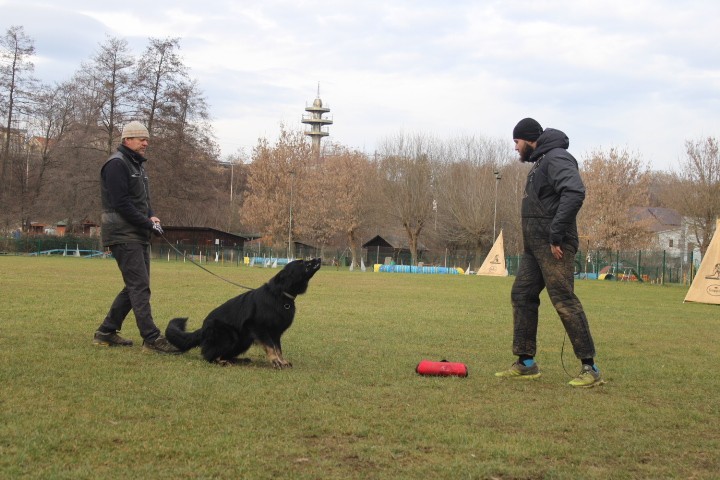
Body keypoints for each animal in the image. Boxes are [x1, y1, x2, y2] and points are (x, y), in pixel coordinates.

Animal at [166, 258, 320, 368]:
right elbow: (271, 347)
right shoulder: (259, 328)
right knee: (208, 356)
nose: (318, 258)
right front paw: (275, 362)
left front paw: (281, 361)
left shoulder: (276, 334)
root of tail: (202, 329)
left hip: (243, 341)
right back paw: (222, 362)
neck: (281, 295)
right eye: (302, 262)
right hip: (231, 336)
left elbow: (278, 348)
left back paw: (239, 360)